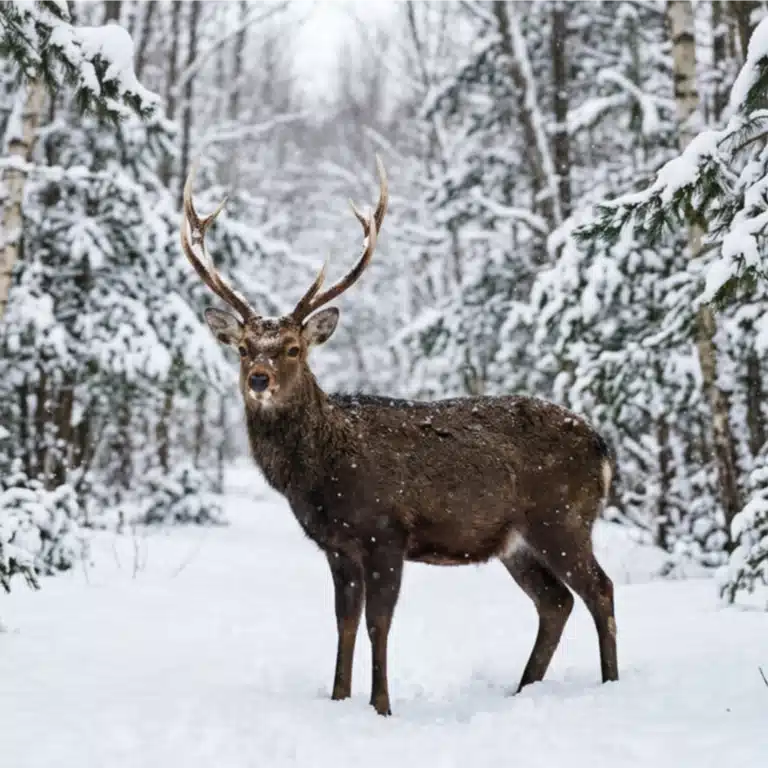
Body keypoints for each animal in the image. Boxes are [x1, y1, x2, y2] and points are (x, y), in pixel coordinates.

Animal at [179, 156, 618, 717]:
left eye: (294, 348)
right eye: (242, 348)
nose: (259, 379)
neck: (323, 474)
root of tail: (602, 447)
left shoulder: (386, 531)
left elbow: (378, 622)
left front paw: (381, 705)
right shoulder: (337, 546)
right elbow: (344, 622)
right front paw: (339, 698)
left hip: (562, 517)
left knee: (599, 589)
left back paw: (609, 683)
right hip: (516, 541)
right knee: (556, 601)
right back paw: (523, 689)